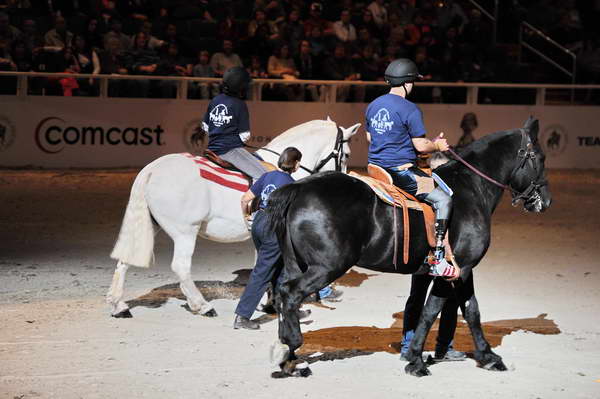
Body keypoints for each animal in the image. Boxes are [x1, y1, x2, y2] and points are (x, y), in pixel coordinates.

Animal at [106, 118, 360, 318]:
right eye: (346, 154)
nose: (344, 179)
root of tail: (152, 169)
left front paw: (267, 302)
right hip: (185, 232)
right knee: (181, 266)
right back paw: (202, 306)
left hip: (148, 226)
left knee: (125, 261)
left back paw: (119, 306)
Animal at [268, 118, 552, 378]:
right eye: (540, 157)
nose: (546, 201)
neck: (470, 188)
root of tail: (298, 189)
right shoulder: (458, 269)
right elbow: (436, 311)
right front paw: (417, 359)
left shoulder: (453, 270)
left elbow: (462, 309)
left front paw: (486, 356)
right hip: (327, 266)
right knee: (290, 294)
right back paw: (291, 349)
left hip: (297, 264)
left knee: (282, 294)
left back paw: (288, 355)